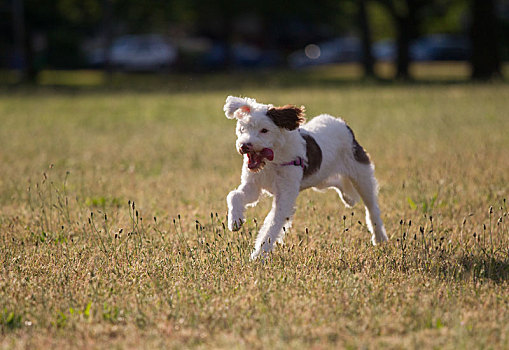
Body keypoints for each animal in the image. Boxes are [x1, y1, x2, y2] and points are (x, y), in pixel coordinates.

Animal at [224, 95, 386, 260]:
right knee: (336, 182)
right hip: (320, 177)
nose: (244, 145)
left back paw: (379, 238)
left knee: (371, 206)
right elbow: (234, 195)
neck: (273, 161)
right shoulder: (254, 184)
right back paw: (348, 197)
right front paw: (235, 221)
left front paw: (258, 256)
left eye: (264, 130)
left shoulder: (285, 195)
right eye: (242, 129)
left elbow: (272, 224)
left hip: (360, 172)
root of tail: (342, 123)